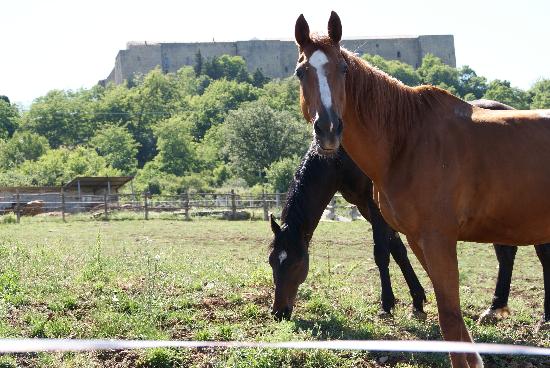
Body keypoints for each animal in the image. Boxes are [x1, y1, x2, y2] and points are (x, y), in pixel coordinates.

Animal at [270, 142, 430, 320]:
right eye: (271, 262)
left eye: (297, 263)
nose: (279, 312)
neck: (343, 161)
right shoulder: (364, 206)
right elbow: (399, 251)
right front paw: (417, 300)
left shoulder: (376, 206)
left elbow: (381, 254)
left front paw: (387, 304)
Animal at [294, 10, 550, 366]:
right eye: (301, 72)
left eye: (343, 69)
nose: (329, 130)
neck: (407, 139)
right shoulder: (418, 239)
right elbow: (454, 319)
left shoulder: (438, 239)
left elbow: (450, 320)